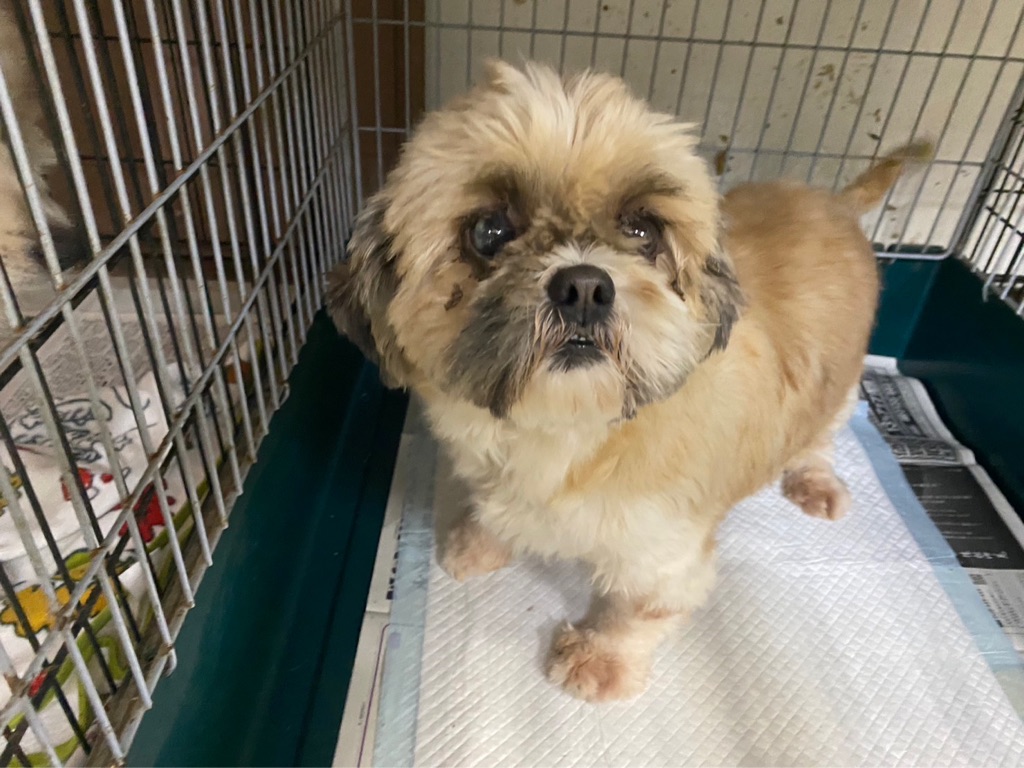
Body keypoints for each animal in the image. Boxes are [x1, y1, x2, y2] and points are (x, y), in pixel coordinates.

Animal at [327, 60, 930, 702]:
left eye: (643, 230)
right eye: (488, 231)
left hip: (839, 386)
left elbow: (636, 609)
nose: (584, 286)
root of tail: (836, 203)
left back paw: (813, 481)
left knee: (819, 436)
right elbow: (494, 514)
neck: (567, 434)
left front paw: (599, 660)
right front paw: (478, 543)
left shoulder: (662, 551)